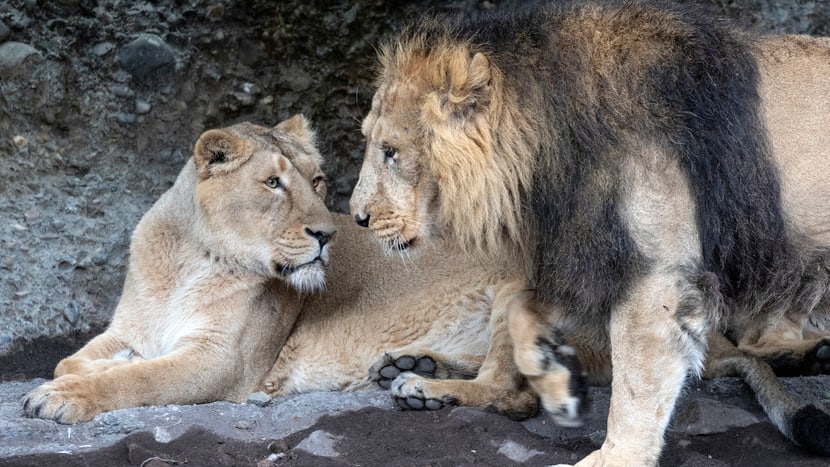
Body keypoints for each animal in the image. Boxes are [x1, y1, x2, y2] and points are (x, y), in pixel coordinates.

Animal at [26, 116, 338, 424]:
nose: (327, 234)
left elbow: (141, 376)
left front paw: (67, 393)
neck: (189, 261)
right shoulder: (127, 330)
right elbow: (66, 362)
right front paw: (110, 364)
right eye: (272, 182)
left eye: (317, 181)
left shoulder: (226, 360)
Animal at [352, 1, 830, 466]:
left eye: (390, 152)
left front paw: (614, 456)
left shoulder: (655, 275)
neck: (546, 147)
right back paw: (418, 373)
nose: (357, 217)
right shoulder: (573, 250)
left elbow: (635, 386)